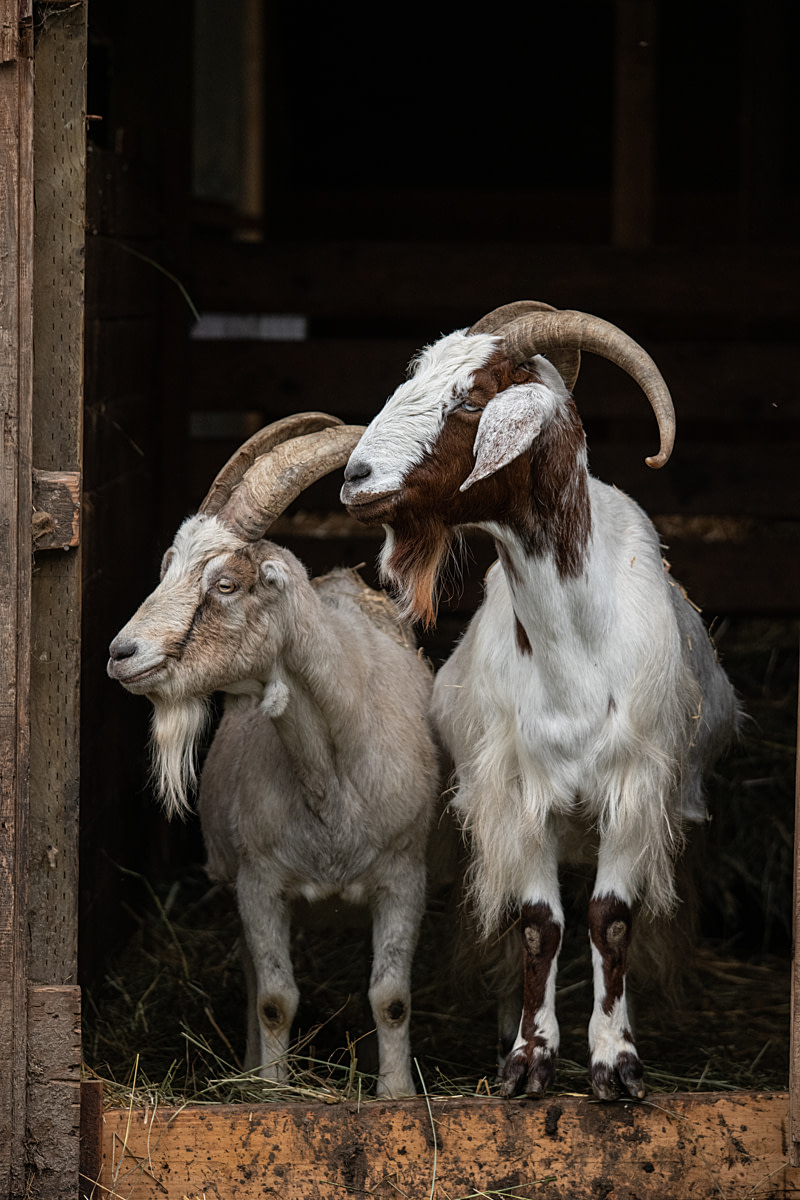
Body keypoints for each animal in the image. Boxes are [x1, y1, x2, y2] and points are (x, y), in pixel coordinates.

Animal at [108, 412, 440, 1097]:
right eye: (168, 567)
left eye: (225, 583)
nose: (121, 653)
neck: (332, 778)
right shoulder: (260, 884)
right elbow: (273, 999)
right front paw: (270, 1095)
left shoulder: (404, 876)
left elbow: (391, 996)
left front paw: (395, 1095)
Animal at [340, 302, 740, 1101]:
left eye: (469, 399)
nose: (355, 477)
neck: (576, 652)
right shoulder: (519, 794)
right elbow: (537, 924)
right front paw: (528, 1061)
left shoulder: (634, 788)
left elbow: (611, 920)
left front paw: (616, 1064)